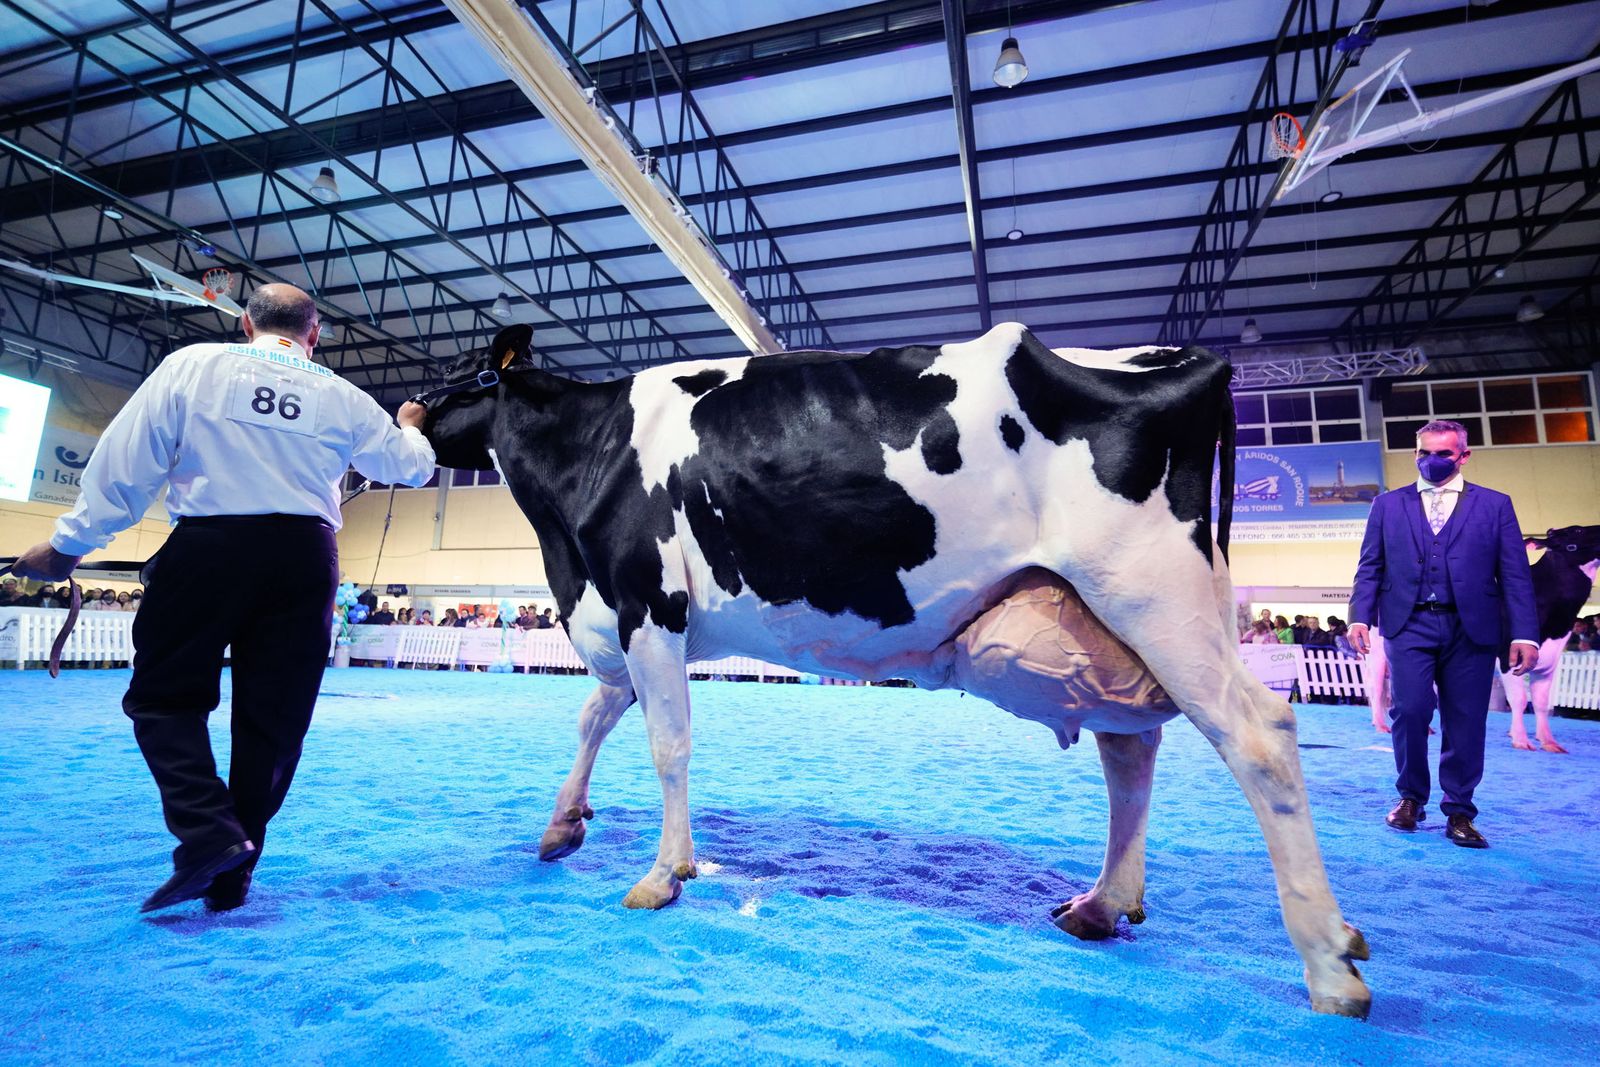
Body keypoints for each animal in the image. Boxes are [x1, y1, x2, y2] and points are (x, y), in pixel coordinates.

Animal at [420, 321, 1372, 1017]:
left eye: (455, 377)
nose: (403, 407)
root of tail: (1184, 358)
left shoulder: (649, 604)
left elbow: (668, 746)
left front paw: (665, 872)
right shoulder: (619, 616)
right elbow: (592, 715)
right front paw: (562, 824)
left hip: (1154, 593)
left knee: (1258, 735)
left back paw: (1330, 963)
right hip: (1121, 615)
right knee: (1131, 749)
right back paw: (1102, 905)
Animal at [1500, 525, 1600, 753]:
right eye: (1577, 531)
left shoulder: (1549, 660)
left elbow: (1541, 703)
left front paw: (1548, 741)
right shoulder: (1507, 657)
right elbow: (1519, 699)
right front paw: (1521, 739)